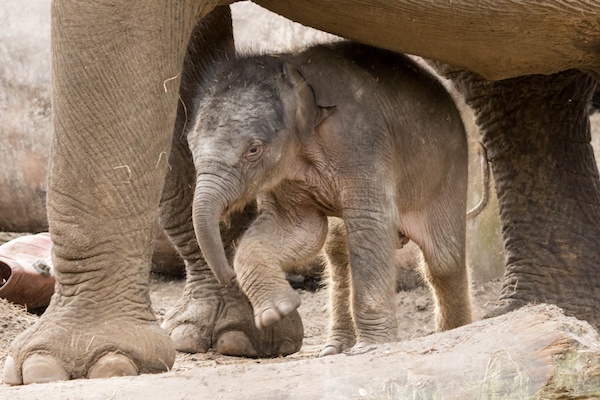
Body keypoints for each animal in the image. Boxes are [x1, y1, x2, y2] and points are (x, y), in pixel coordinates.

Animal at [188, 40, 474, 354]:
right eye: (189, 144)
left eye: (253, 150)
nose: (228, 277)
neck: (291, 67)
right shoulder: (286, 175)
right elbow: (299, 229)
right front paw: (278, 310)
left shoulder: (362, 142)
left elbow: (370, 221)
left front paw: (369, 347)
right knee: (339, 249)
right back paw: (334, 348)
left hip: (447, 171)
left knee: (443, 259)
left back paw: (453, 330)